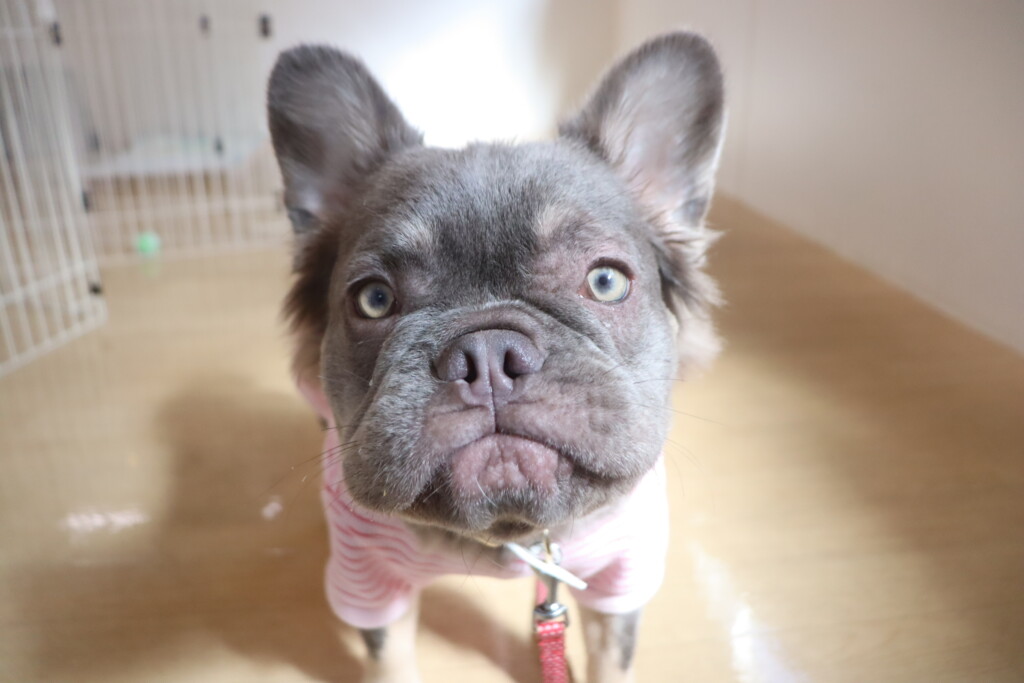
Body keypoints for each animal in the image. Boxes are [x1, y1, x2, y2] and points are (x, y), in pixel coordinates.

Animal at [267, 31, 725, 683]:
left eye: (606, 281)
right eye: (374, 299)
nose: (485, 354)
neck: (513, 532)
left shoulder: (620, 580)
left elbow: (613, 660)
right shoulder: (369, 581)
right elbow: (389, 662)